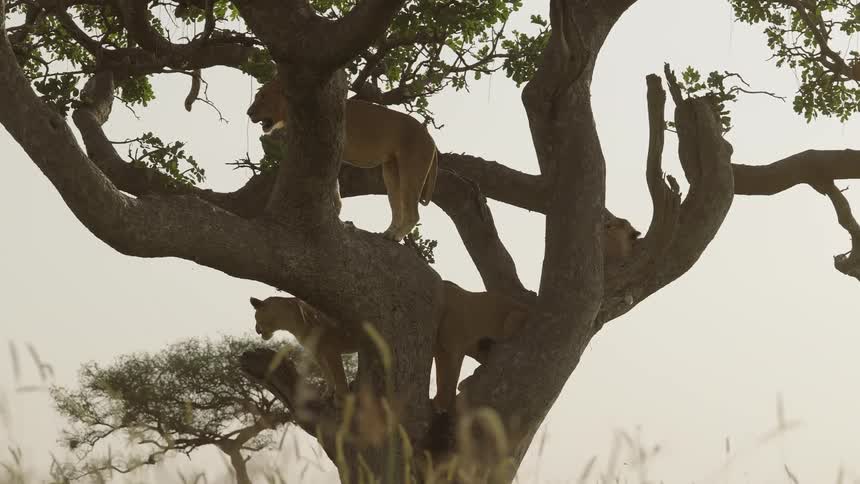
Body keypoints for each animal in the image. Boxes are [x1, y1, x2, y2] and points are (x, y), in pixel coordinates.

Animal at [246, 77, 439, 242]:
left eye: (262, 96)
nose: (249, 112)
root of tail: (430, 137)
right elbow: (334, 184)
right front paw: (337, 210)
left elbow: (332, 184)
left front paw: (336, 210)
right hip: (391, 170)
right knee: (398, 207)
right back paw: (388, 234)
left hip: (411, 166)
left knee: (413, 213)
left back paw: (394, 236)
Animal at [249, 281, 529, 413]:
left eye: (257, 317)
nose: (256, 329)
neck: (293, 320)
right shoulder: (318, 353)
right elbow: (328, 375)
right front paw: (329, 394)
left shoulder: (330, 350)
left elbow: (337, 375)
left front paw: (341, 398)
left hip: (506, 322)